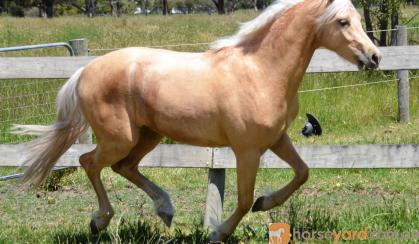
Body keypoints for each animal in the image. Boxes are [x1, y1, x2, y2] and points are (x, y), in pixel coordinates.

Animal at [12, 0, 380, 241]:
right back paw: (99, 221)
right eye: (343, 22)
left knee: (124, 167)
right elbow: (243, 198)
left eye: (357, 19)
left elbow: (302, 172)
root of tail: (85, 71)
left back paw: (165, 210)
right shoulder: (247, 149)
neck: (261, 70)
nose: (374, 57)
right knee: (90, 162)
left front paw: (265, 203)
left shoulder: (277, 139)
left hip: (148, 135)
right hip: (120, 138)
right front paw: (219, 232)